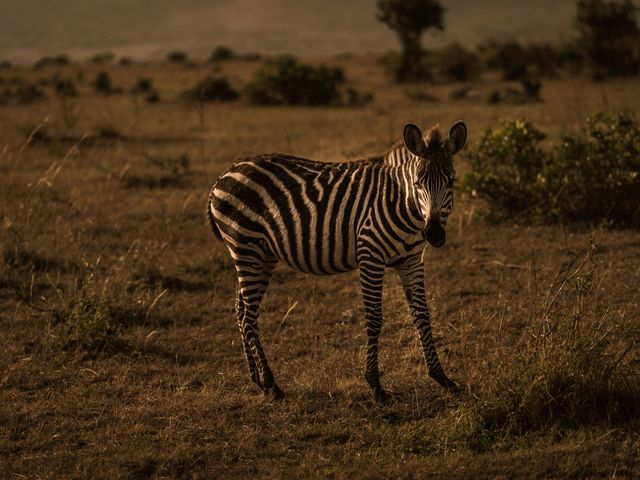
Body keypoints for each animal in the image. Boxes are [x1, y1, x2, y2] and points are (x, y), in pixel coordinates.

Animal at [208, 120, 468, 402]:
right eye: (418, 183)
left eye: (451, 181)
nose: (434, 234)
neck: (400, 203)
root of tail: (226, 172)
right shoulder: (370, 256)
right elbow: (374, 319)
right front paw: (375, 385)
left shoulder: (411, 261)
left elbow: (422, 315)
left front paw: (442, 377)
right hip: (246, 248)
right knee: (249, 316)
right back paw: (271, 385)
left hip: (261, 255)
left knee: (240, 308)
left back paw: (256, 378)